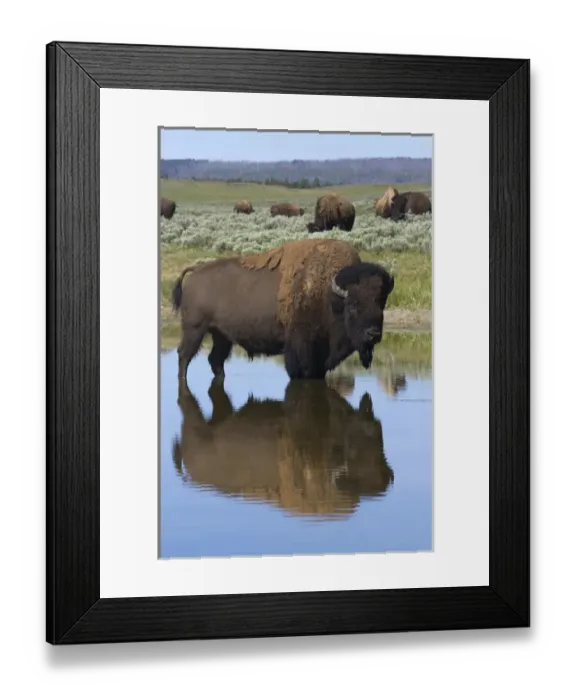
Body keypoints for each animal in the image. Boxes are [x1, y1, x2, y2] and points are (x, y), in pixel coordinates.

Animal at [171, 238, 395, 391]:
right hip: (194, 329)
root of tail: (195, 272)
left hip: (221, 336)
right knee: (184, 355)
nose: (373, 334)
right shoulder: (301, 348)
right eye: (354, 305)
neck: (329, 296)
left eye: (381, 304)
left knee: (215, 360)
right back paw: (182, 382)